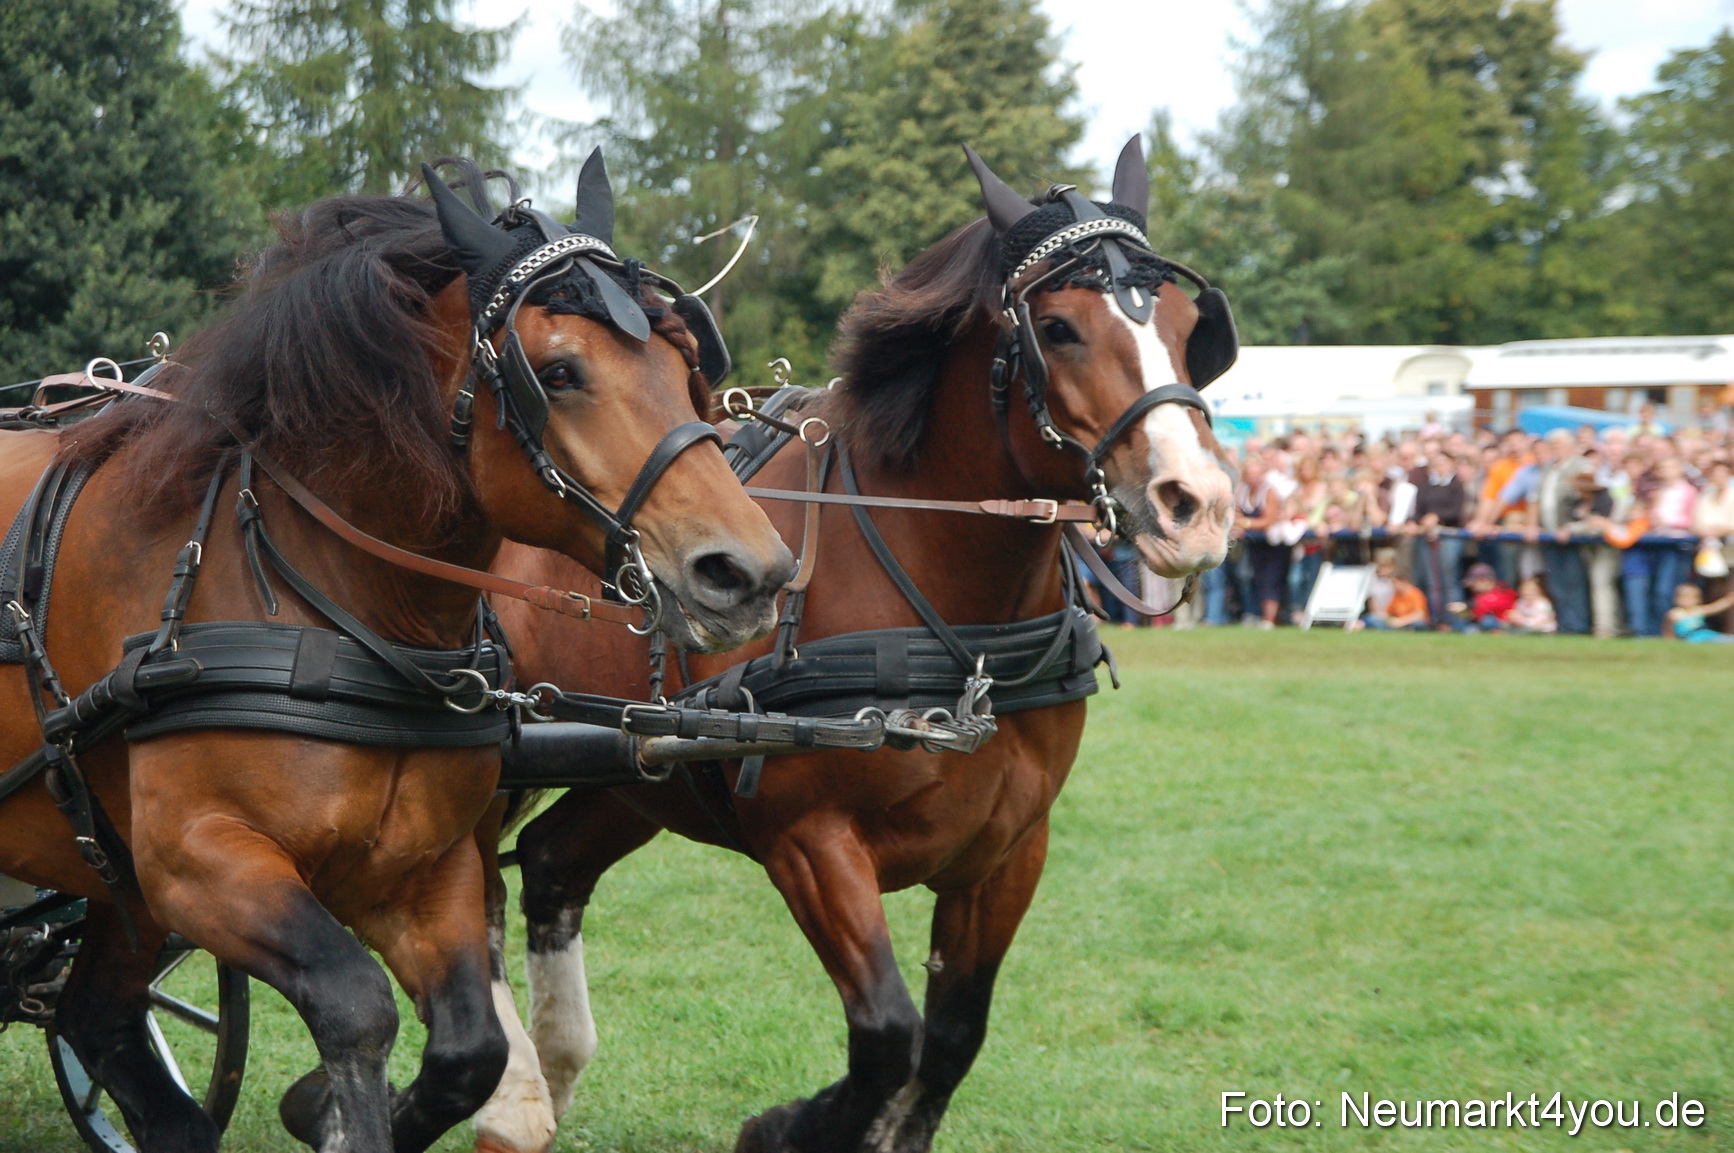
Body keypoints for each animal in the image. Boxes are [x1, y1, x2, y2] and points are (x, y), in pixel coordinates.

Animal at [0, 153, 792, 1153]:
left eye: (686, 366)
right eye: (559, 371)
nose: (750, 572)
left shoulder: (421, 865)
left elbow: (469, 1048)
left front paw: (316, 1107)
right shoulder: (197, 860)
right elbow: (356, 1004)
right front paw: (333, 1107)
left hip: (116, 886)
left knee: (96, 1017)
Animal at [474, 138, 1239, 1152]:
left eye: (1193, 327)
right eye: (1060, 327)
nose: (1196, 505)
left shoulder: (1009, 851)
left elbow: (950, 1038)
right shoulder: (813, 841)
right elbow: (886, 1035)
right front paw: (782, 1125)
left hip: (643, 763)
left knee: (551, 865)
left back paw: (554, 1067)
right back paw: (502, 1090)